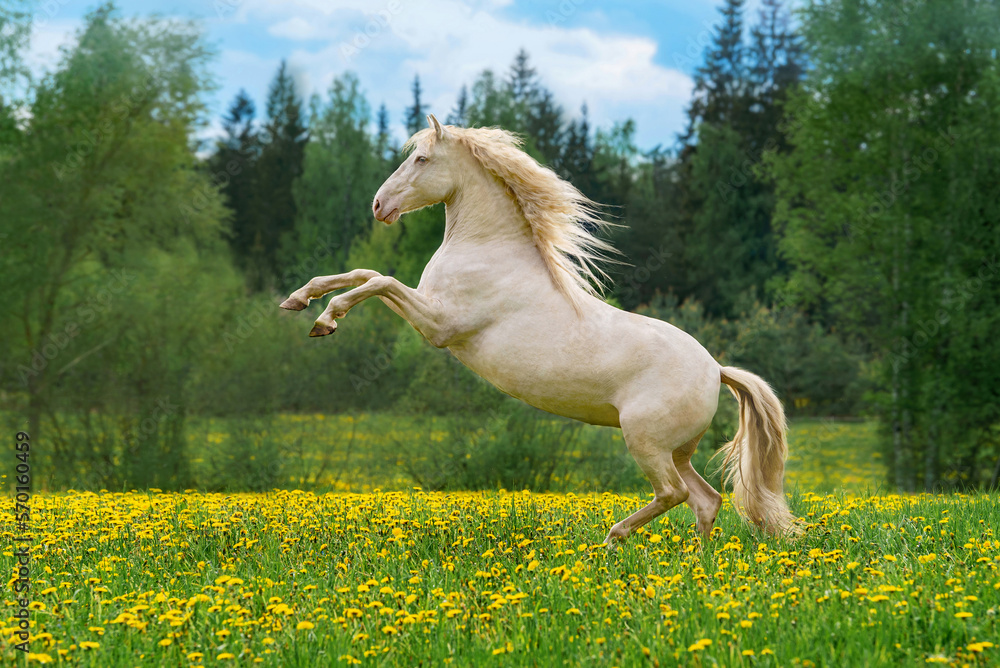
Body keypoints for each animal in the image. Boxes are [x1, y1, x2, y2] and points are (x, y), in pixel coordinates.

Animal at [280, 114, 798, 542]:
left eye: (421, 158)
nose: (378, 205)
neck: (488, 249)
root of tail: (716, 369)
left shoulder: (439, 325)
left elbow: (378, 281)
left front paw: (326, 320)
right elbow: (364, 272)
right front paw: (299, 299)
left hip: (646, 442)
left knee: (675, 494)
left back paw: (614, 538)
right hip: (676, 450)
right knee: (706, 501)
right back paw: (697, 565)